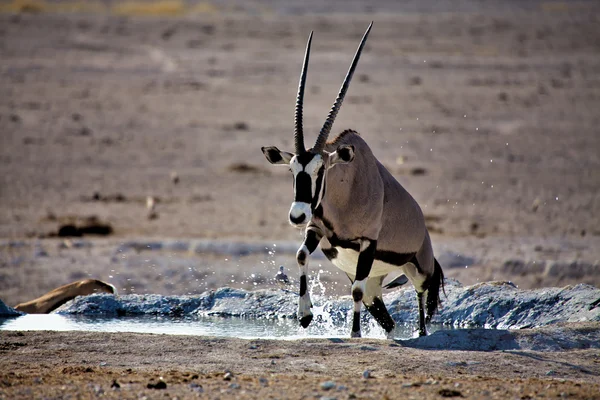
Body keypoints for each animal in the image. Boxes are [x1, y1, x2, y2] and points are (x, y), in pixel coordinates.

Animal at [260, 22, 442, 338]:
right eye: (292, 170)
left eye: (321, 170)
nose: (297, 215)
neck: (347, 189)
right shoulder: (317, 229)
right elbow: (300, 255)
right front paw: (305, 316)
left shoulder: (368, 243)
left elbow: (354, 290)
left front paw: (354, 334)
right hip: (375, 281)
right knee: (385, 318)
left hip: (418, 267)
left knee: (419, 294)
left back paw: (420, 333)